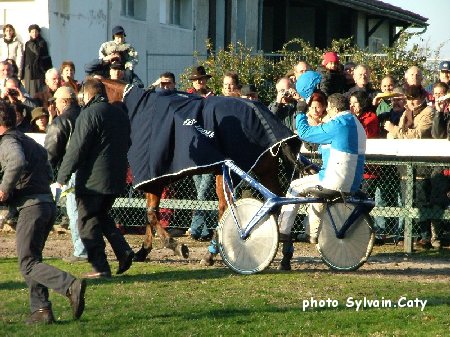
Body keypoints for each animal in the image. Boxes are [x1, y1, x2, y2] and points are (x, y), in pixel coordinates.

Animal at [99, 78, 302, 262]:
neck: (136, 110)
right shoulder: (153, 179)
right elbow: (150, 213)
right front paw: (143, 251)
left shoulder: (154, 176)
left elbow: (151, 213)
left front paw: (176, 246)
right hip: (263, 169)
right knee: (276, 199)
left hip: (230, 171)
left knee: (227, 206)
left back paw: (212, 252)